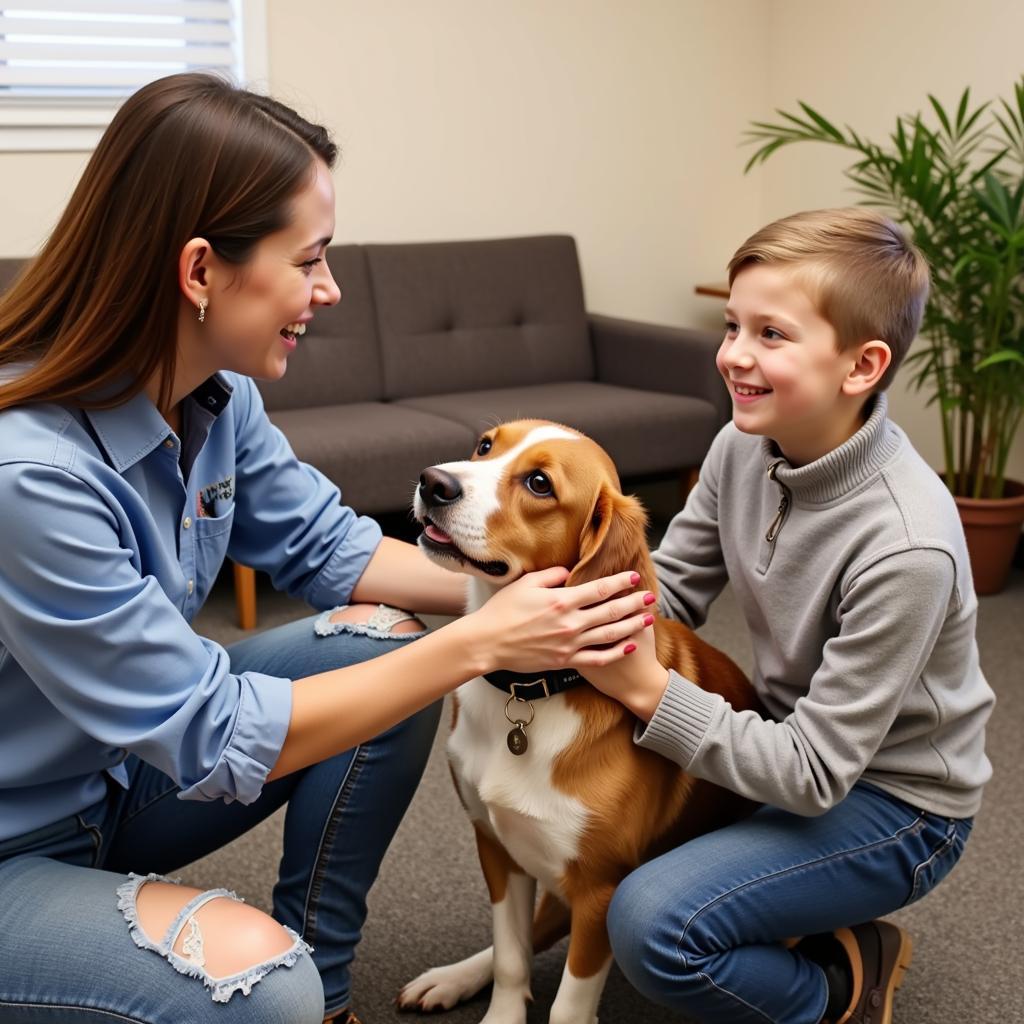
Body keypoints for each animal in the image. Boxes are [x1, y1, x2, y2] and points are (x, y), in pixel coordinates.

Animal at [399, 419, 761, 1024]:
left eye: (540, 484)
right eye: (485, 446)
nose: (433, 482)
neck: (530, 687)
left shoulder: (601, 889)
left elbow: (568, 1006)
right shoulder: (496, 849)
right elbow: (511, 957)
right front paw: (500, 1011)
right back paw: (452, 978)